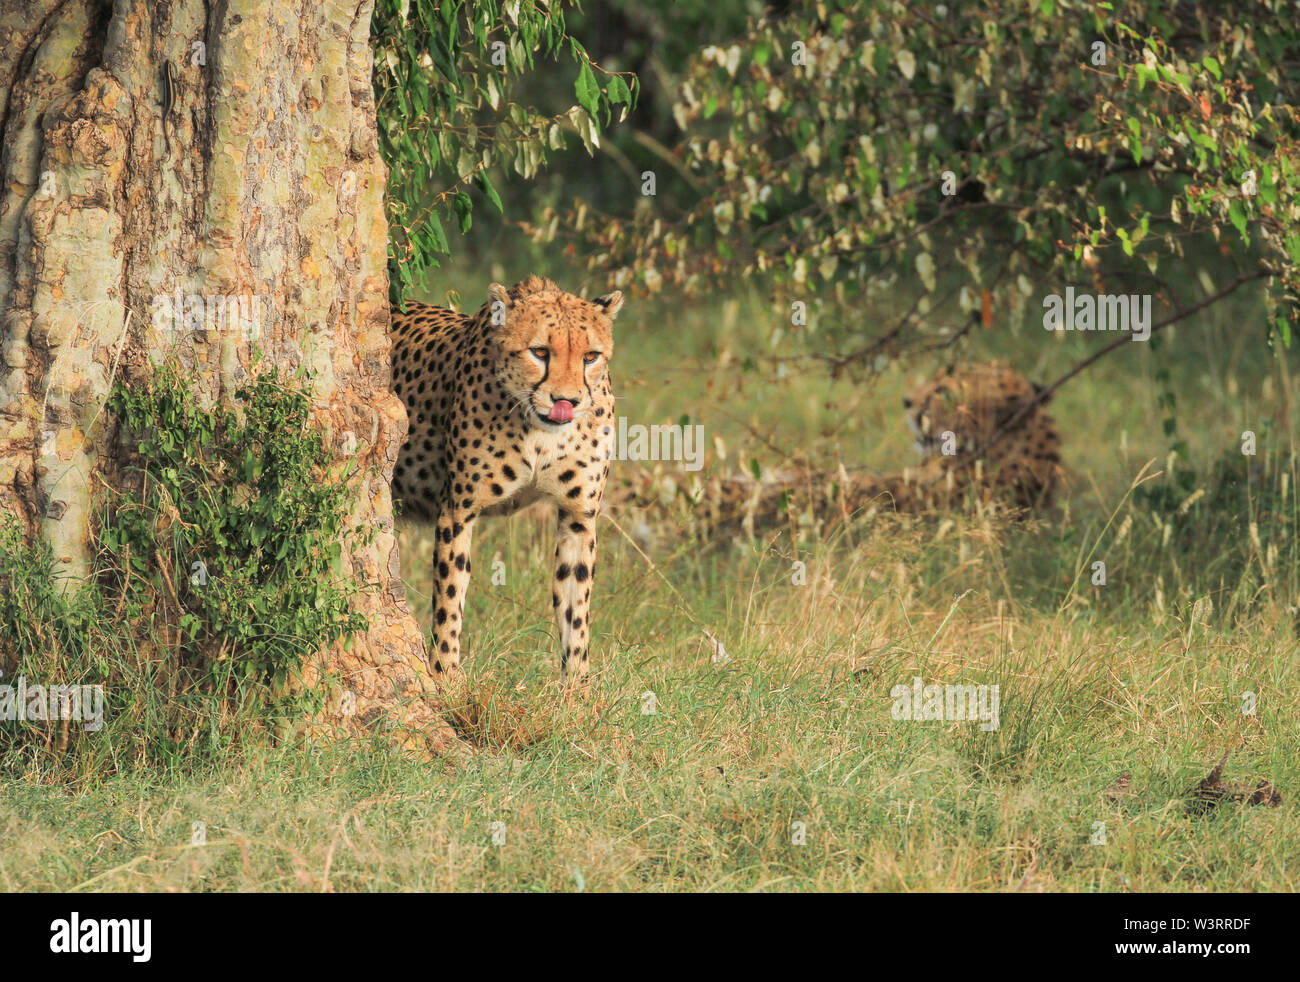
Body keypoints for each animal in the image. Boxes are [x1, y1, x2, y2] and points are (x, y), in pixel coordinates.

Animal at [389, 275, 624, 685]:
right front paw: (446, 677)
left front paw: (577, 688)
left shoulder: (579, 515)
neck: (541, 433)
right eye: (539, 352)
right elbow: (450, 596)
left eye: (590, 357)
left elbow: (575, 607)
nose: (567, 402)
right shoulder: (457, 510)